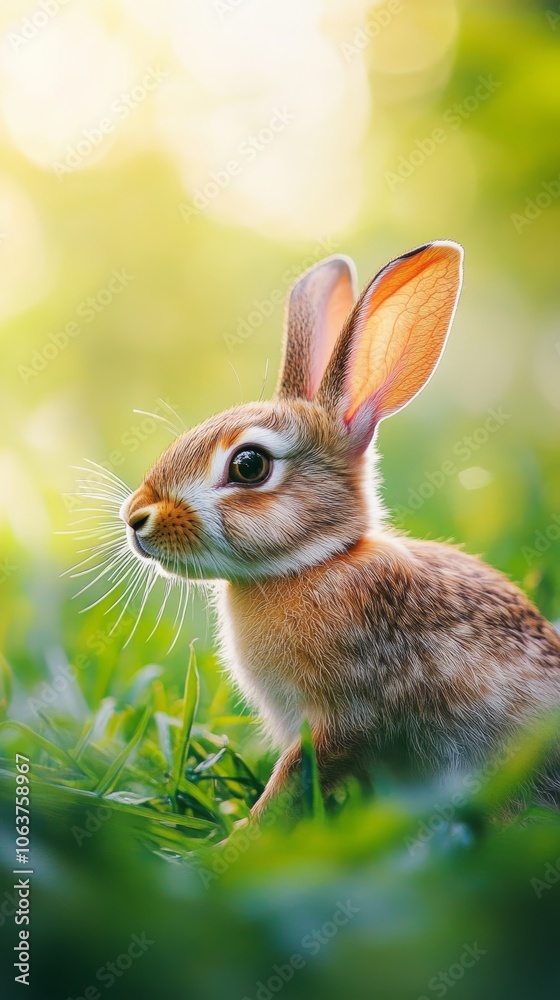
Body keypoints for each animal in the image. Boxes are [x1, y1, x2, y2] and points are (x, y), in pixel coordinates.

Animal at [120, 241, 560, 818]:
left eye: (249, 466)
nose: (135, 518)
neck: (318, 562)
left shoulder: (343, 721)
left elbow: (295, 777)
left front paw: (244, 833)